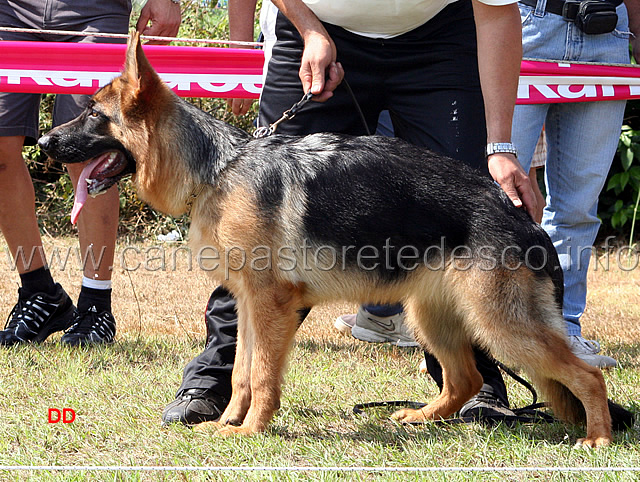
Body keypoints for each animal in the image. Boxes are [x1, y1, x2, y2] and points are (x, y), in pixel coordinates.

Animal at [37, 33, 612, 448]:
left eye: (93, 114)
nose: (43, 141)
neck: (217, 169)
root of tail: (524, 219)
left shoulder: (271, 304)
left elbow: (263, 375)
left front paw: (251, 431)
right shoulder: (249, 304)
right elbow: (241, 372)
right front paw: (228, 424)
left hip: (499, 326)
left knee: (587, 376)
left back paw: (597, 440)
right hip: (435, 317)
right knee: (464, 379)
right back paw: (421, 417)